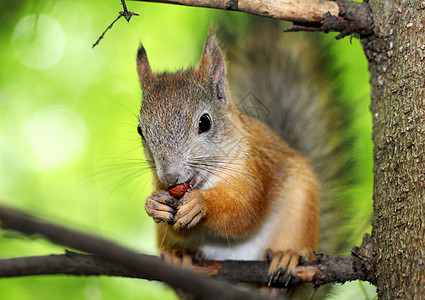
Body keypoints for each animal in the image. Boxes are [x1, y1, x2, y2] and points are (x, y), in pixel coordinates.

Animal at [135, 17, 348, 296]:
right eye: (140, 130)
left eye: (205, 122)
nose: (170, 176)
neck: (207, 181)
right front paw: (154, 205)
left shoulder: (255, 170)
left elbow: (244, 212)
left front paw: (200, 205)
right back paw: (178, 258)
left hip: (300, 211)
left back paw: (285, 261)